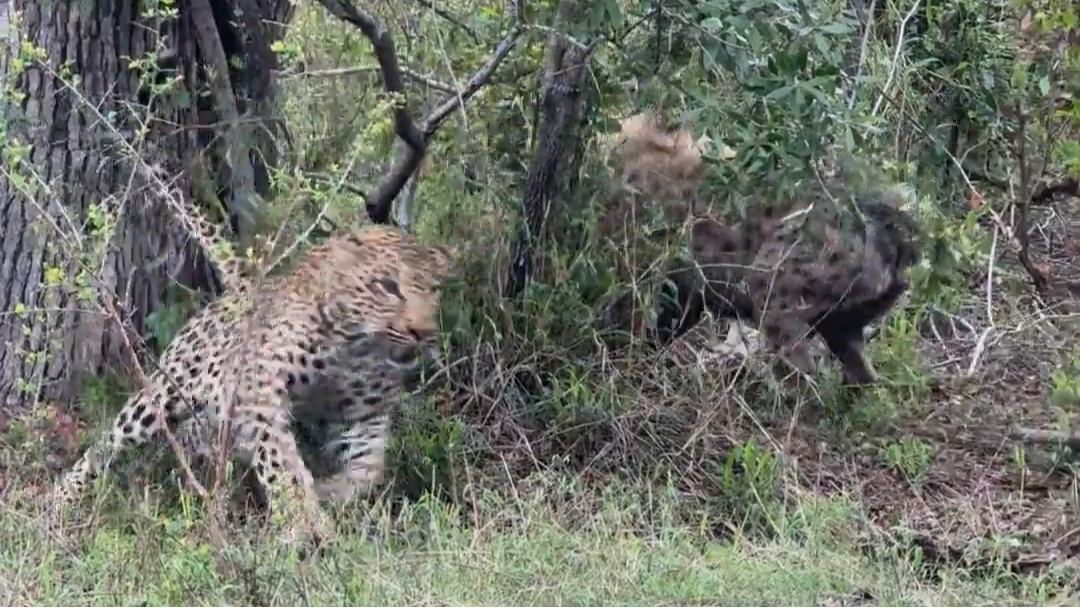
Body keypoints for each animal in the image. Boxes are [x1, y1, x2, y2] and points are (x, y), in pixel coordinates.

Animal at [48, 225, 456, 552]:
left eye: (434, 289)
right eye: (386, 286)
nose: (422, 332)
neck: (358, 351)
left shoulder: (364, 417)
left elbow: (368, 470)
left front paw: (331, 493)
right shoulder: (258, 390)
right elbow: (283, 464)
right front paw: (305, 524)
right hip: (162, 394)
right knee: (105, 447)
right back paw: (59, 506)